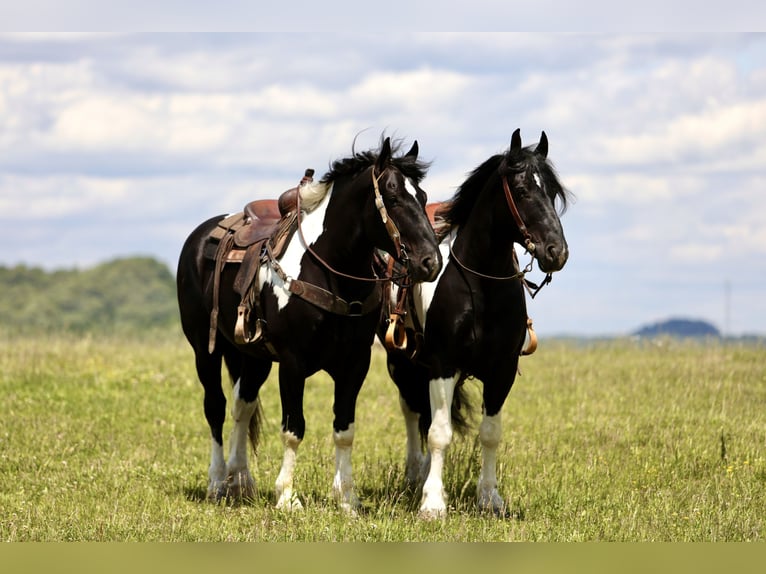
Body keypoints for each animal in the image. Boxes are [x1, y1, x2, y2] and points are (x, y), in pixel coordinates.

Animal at [176, 136, 442, 513]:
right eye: (392, 197)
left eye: (421, 196)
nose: (430, 262)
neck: (330, 270)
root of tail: (199, 237)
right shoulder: (292, 363)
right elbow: (293, 429)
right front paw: (287, 496)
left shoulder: (355, 363)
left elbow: (344, 429)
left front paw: (347, 499)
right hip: (205, 349)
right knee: (216, 407)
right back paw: (217, 482)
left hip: (254, 357)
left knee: (243, 405)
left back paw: (240, 480)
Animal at [379, 129, 571, 519]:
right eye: (523, 190)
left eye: (553, 192)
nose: (556, 252)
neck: (483, 289)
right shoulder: (443, 365)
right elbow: (439, 432)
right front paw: (433, 503)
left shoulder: (502, 371)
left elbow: (490, 432)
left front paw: (490, 498)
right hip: (400, 363)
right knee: (412, 411)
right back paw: (415, 475)